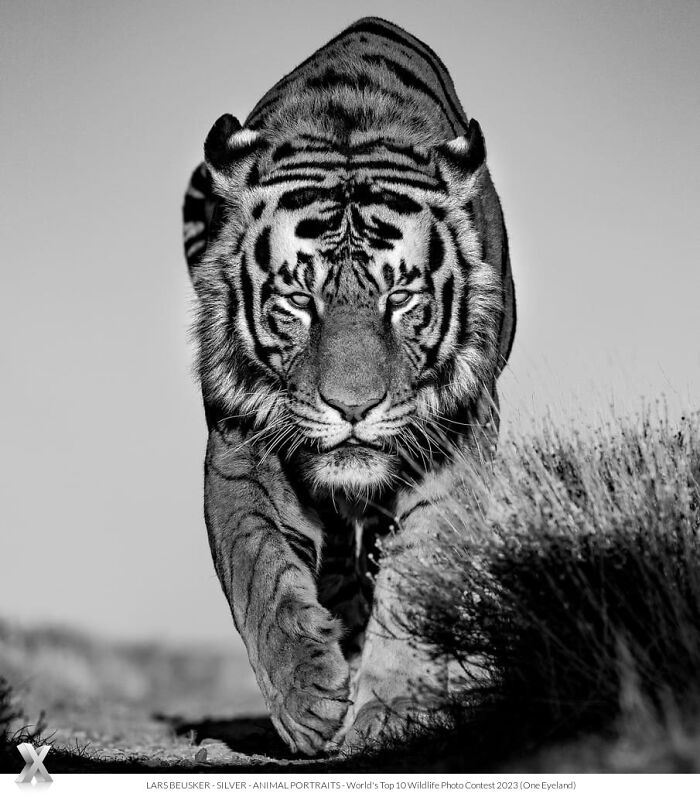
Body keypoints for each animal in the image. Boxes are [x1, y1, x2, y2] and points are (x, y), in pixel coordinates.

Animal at [182, 17, 515, 755]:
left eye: (400, 299)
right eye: (300, 301)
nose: (353, 407)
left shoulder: (454, 442)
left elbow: (419, 575)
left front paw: (389, 715)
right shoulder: (239, 441)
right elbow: (256, 568)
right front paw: (308, 696)